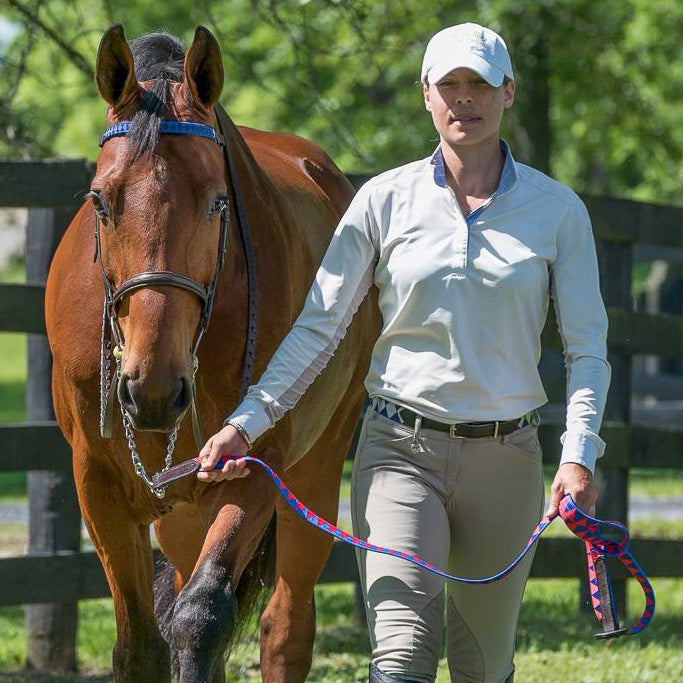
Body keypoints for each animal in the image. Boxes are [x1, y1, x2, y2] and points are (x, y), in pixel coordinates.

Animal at [45, 24, 379, 683]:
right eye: (100, 201)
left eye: (218, 202)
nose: (151, 387)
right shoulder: (97, 482)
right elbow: (140, 646)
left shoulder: (253, 460)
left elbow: (201, 617)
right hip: (180, 512)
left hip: (315, 470)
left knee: (285, 626)